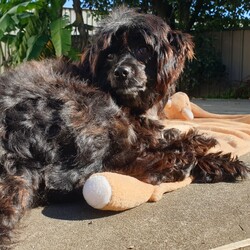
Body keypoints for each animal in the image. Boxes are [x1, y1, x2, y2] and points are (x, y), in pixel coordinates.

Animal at [0, 7, 249, 246]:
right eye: (109, 55)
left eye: (143, 50)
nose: (121, 71)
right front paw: (201, 147)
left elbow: (160, 135)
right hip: (87, 109)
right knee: (94, 172)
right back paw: (184, 159)